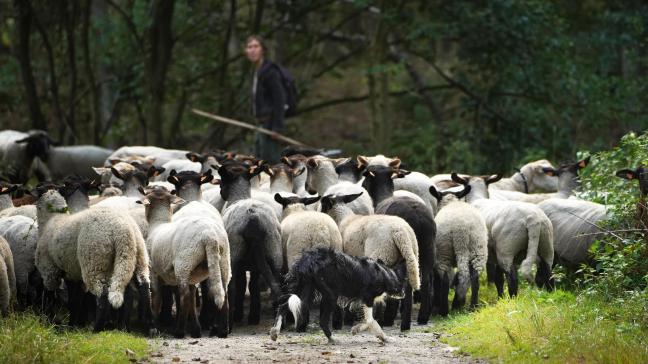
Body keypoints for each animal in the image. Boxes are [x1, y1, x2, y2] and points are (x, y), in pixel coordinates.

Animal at [35, 189, 153, 332]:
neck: (51, 220)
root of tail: (123, 231)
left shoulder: (49, 270)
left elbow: (48, 296)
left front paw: (50, 320)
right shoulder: (73, 273)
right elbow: (75, 301)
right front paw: (72, 325)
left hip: (94, 260)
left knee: (102, 295)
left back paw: (97, 328)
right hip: (137, 256)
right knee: (144, 286)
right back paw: (147, 325)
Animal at [216, 161, 282, 326]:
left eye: (222, 182)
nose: (221, 191)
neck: (239, 196)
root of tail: (253, 218)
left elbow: (241, 286)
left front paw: (241, 315)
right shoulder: (254, 265)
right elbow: (252, 286)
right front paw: (253, 316)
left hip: (234, 251)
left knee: (232, 286)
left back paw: (230, 321)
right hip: (273, 249)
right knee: (279, 281)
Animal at [318, 191, 420, 330]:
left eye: (323, 204)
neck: (343, 219)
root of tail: (400, 232)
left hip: (381, 253)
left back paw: (374, 321)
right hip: (410, 259)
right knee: (408, 292)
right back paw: (405, 326)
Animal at [362, 165, 438, 328]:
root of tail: (418, 215)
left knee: (407, 281)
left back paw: (398, 319)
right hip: (427, 247)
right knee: (426, 280)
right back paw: (422, 317)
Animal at [430, 185, 486, 316]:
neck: (451, 203)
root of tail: (462, 229)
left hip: (443, 251)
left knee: (445, 280)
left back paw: (444, 310)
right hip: (478, 249)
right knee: (474, 278)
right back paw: (472, 307)